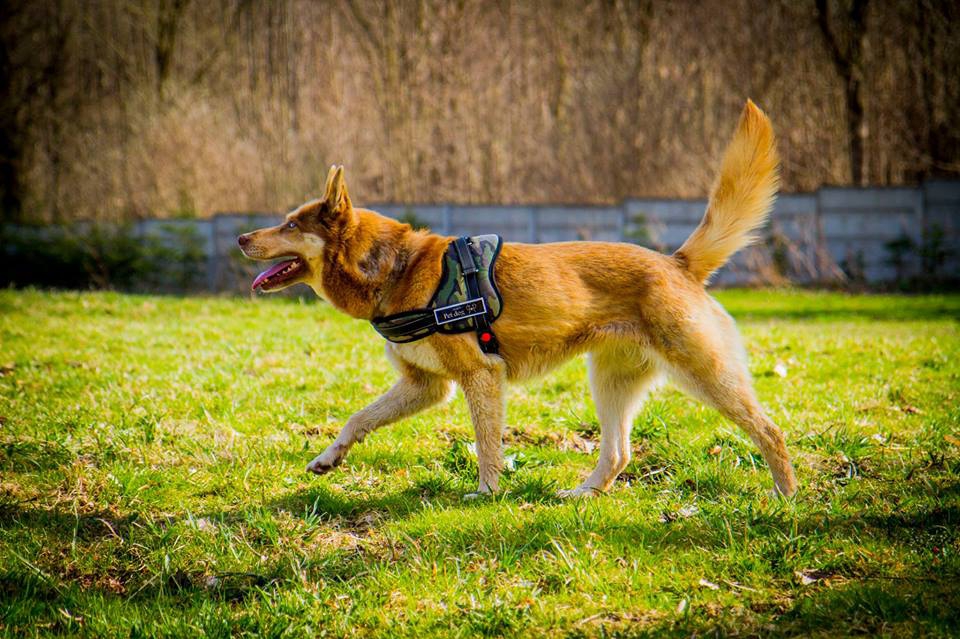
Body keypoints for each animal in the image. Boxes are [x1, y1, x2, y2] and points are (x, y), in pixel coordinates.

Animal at [238, 100, 798, 499]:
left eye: (291, 225)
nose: (242, 238)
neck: (398, 268)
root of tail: (678, 263)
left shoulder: (480, 377)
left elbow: (487, 443)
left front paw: (486, 492)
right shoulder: (425, 386)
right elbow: (359, 418)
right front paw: (328, 458)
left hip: (704, 373)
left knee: (770, 430)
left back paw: (785, 495)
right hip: (610, 382)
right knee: (618, 453)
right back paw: (582, 494)